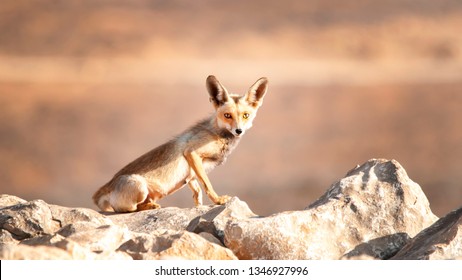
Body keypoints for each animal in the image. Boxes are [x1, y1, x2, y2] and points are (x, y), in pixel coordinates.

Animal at [92, 74, 268, 212]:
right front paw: (218, 200)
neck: (217, 134)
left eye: (245, 115)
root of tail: (102, 190)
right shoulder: (192, 152)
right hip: (139, 186)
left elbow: (197, 193)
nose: (239, 130)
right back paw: (149, 207)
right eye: (227, 115)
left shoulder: (191, 173)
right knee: (127, 209)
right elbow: (207, 185)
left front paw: (199, 208)